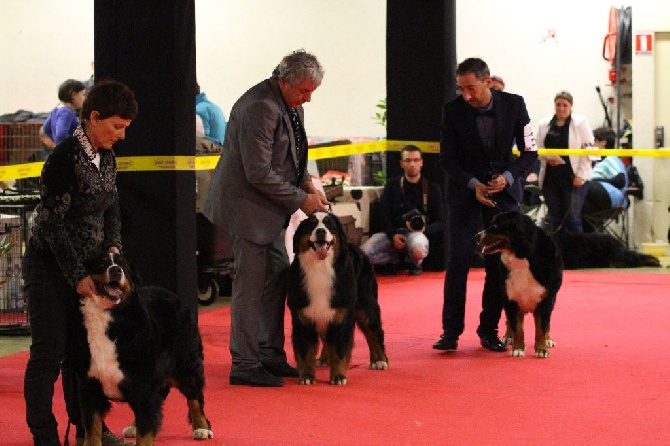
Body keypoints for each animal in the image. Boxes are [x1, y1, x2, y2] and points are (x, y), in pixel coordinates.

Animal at [73, 253, 213, 444]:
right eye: (102, 263)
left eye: (123, 265)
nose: (116, 270)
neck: (110, 317)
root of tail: (172, 295)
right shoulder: (90, 386)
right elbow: (92, 429)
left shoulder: (144, 385)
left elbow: (145, 430)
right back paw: (133, 427)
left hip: (187, 365)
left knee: (195, 398)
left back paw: (202, 428)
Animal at [288, 212, 388, 384]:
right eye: (312, 224)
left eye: (329, 225)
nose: (321, 231)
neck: (320, 268)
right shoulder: (304, 317)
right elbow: (306, 351)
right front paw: (306, 376)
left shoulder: (342, 314)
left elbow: (340, 348)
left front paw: (338, 376)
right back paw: (324, 359)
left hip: (366, 305)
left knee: (374, 331)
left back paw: (380, 360)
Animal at [480, 211, 564, 358]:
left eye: (495, 226)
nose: (477, 236)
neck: (522, 257)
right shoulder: (511, 298)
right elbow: (517, 327)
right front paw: (518, 348)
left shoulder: (546, 299)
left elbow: (542, 327)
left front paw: (541, 349)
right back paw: (508, 337)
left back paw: (548, 340)